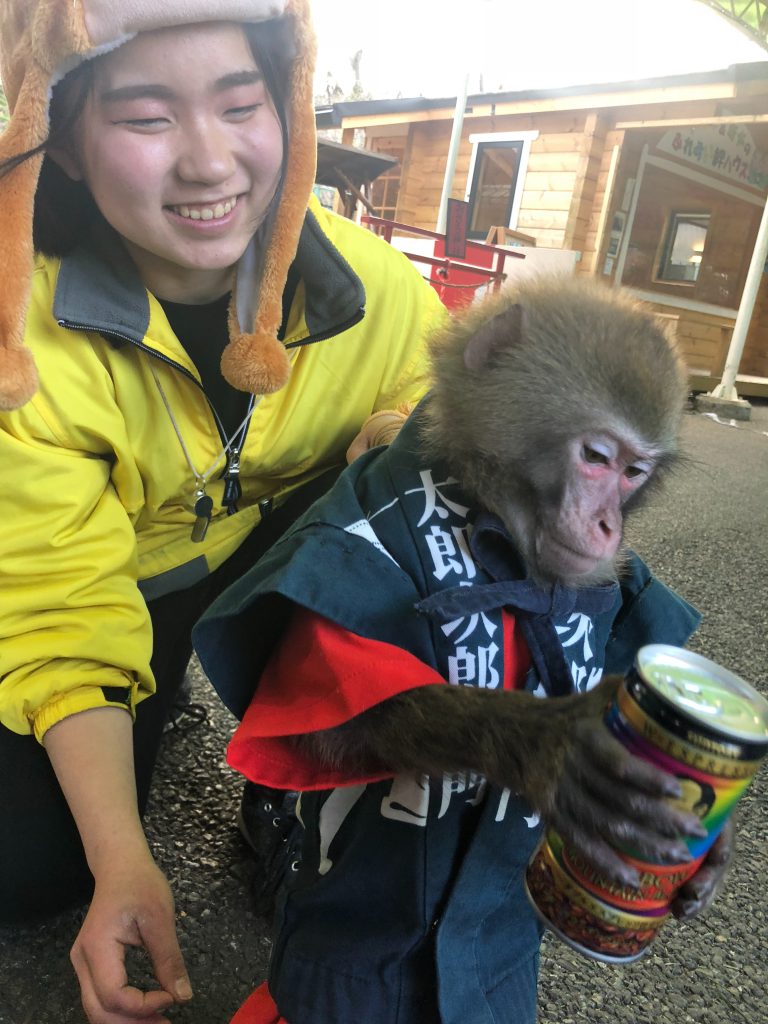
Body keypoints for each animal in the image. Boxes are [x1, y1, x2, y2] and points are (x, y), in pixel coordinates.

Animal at [194, 278, 732, 1024]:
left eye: (635, 472)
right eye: (596, 458)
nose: (607, 527)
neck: (496, 537)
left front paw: (706, 854)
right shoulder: (342, 541)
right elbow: (337, 728)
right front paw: (549, 744)